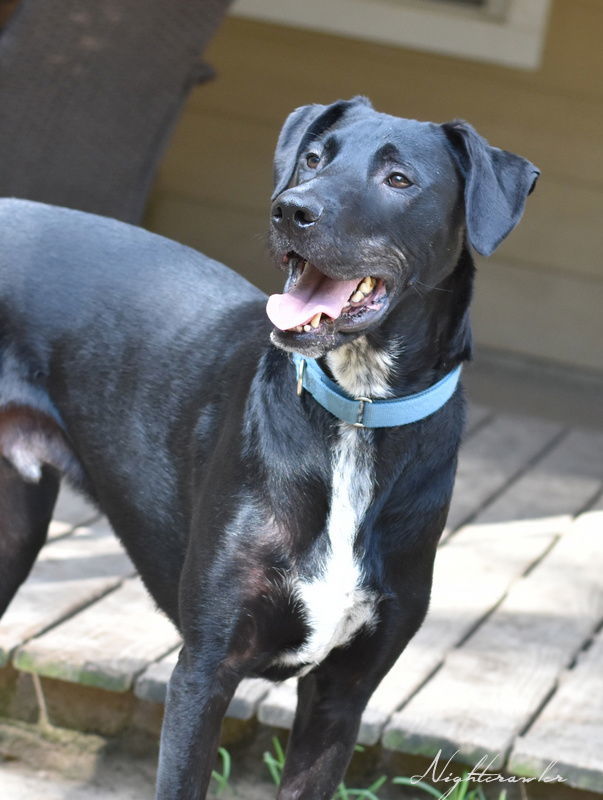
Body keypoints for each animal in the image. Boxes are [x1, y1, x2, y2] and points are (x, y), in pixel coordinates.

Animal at [0, 97, 536, 796]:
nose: (291, 210)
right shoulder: (205, 670)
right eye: (313, 157)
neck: (357, 411)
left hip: (13, 536)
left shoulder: (342, 697)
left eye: (399, 179)